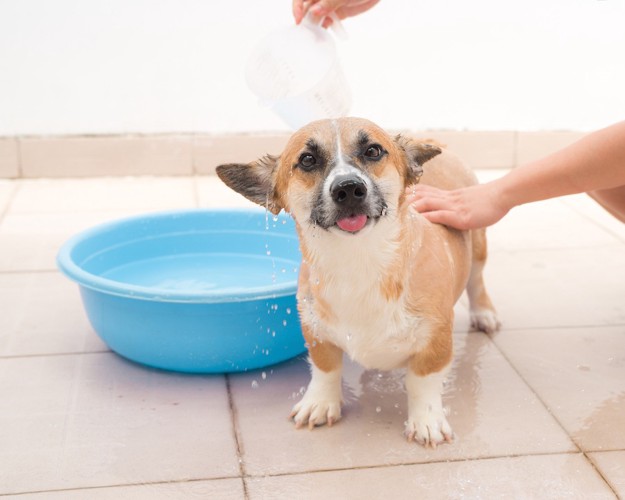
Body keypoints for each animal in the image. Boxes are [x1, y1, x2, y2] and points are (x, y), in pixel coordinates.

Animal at [217, 118, 500, 450]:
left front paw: (426, 421)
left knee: (477, 281)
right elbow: (325, 369)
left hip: (478, 243)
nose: (349, 188)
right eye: (307, 160)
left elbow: (423, 382)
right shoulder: (315, 332)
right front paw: (320, 402)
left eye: (373, 151)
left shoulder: (436, 340)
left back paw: (484, 313)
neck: (358, 260)